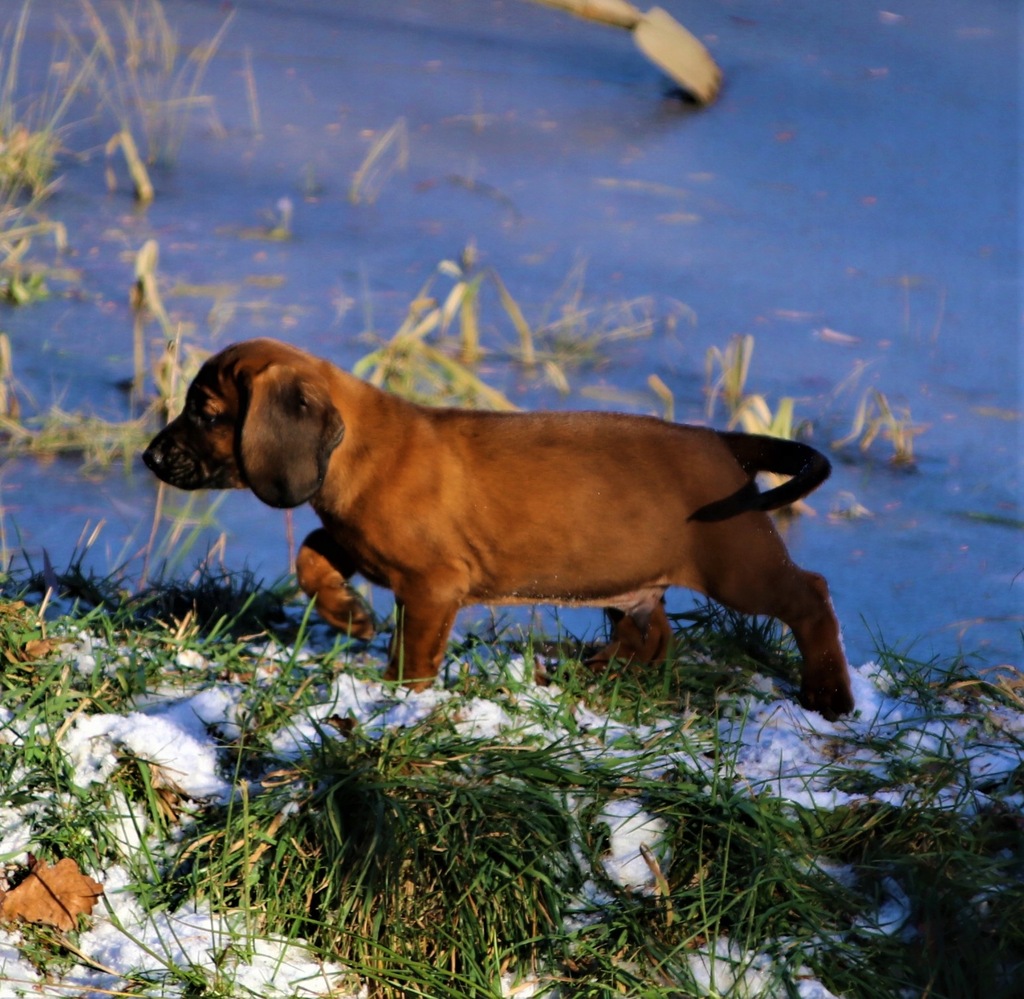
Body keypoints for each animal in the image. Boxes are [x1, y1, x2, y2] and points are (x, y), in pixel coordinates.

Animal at [140, 339, 851, 712]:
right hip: (633, 581)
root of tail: (723, 442)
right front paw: (351, 616)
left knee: (810, 596)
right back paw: (595, 674)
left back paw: (831, 695)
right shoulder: (356, 544)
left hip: (738, 560)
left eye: (205, 414)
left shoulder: (432, 587)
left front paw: (400, 698)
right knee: (653, 635)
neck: (364, 448)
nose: (148, 458)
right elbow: (311, 557)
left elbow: (413, 656)